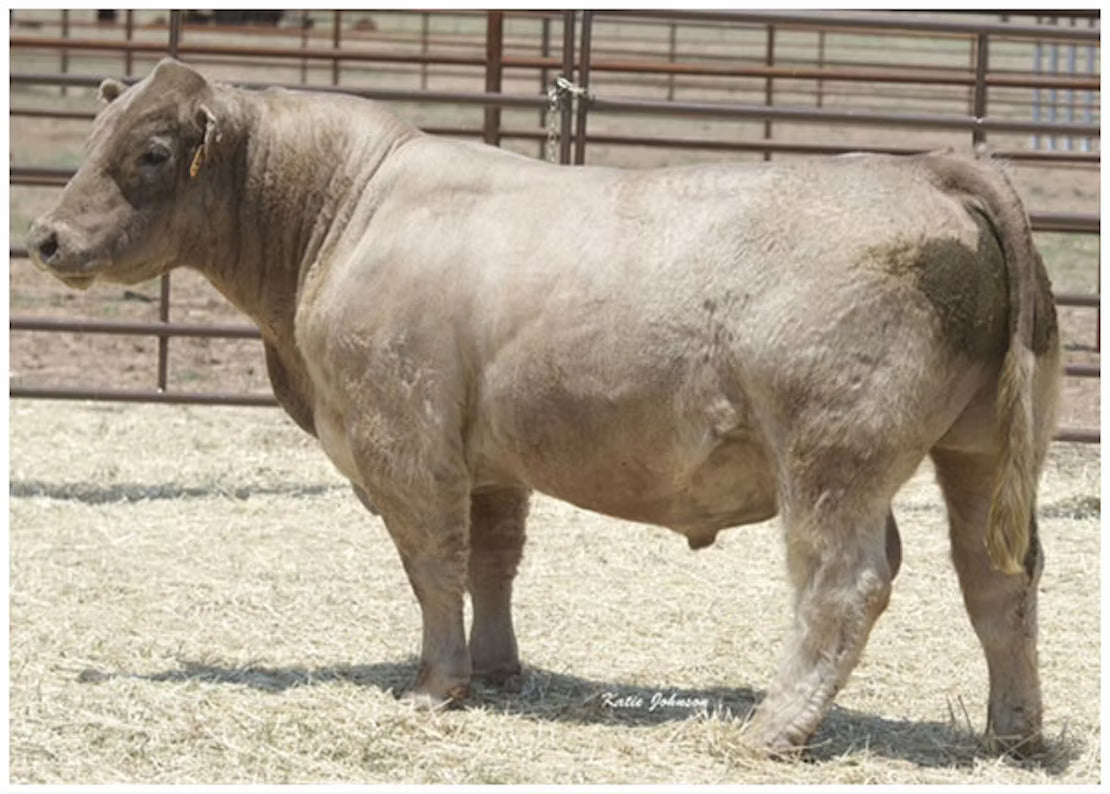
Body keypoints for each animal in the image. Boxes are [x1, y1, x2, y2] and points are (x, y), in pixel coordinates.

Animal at [26, 59, 1060, 758]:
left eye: (152, 151)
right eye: (94, 137)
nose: (45, 238)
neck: (344, 210)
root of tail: (928, 168)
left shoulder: (405, 444)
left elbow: (434, 566)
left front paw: (435, 687)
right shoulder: (488, 461)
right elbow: (493, 562)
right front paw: (496, 672)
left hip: (832, 457)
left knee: (846, 582)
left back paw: (775, 729)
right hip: (980, 450)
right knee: (998, 577)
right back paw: (1011, 733)